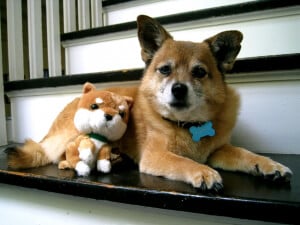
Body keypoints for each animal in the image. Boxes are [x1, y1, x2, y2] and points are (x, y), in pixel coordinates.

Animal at [8, 14, 292, 190]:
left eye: (199, 72)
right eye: (165, 70)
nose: (178, 89)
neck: (185, 125)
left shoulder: (219, 150)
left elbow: (245, 154)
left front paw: (269, 165)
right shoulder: (156, 156)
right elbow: (183, 162)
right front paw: (203, 172)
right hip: (73, 134)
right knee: (59, 153)